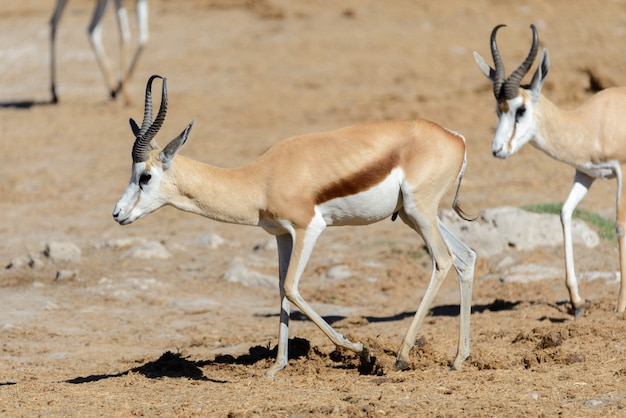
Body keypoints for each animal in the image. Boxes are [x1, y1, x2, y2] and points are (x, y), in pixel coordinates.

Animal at [113, 76, 472, 378]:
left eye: (145, 176)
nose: (117, 214)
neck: (260, 180)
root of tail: (456, 138)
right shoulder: (282, 236)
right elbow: (280, 290)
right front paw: (277, 367)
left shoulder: (308, 228)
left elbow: (291, 287)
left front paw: (363, 352)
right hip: (415, 215)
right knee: (466, 257)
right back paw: (459, 359)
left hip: (419, 212)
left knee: (443, 261)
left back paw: (401, 357)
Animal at [470, 23, 624, 316]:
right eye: (498, 110)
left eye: (521, 109)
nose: (497, 149)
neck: (591, 124)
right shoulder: (586, 174)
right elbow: (564, 213)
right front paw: (576, 302)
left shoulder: (623, 171)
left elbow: (620, 225)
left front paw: (621, 305)